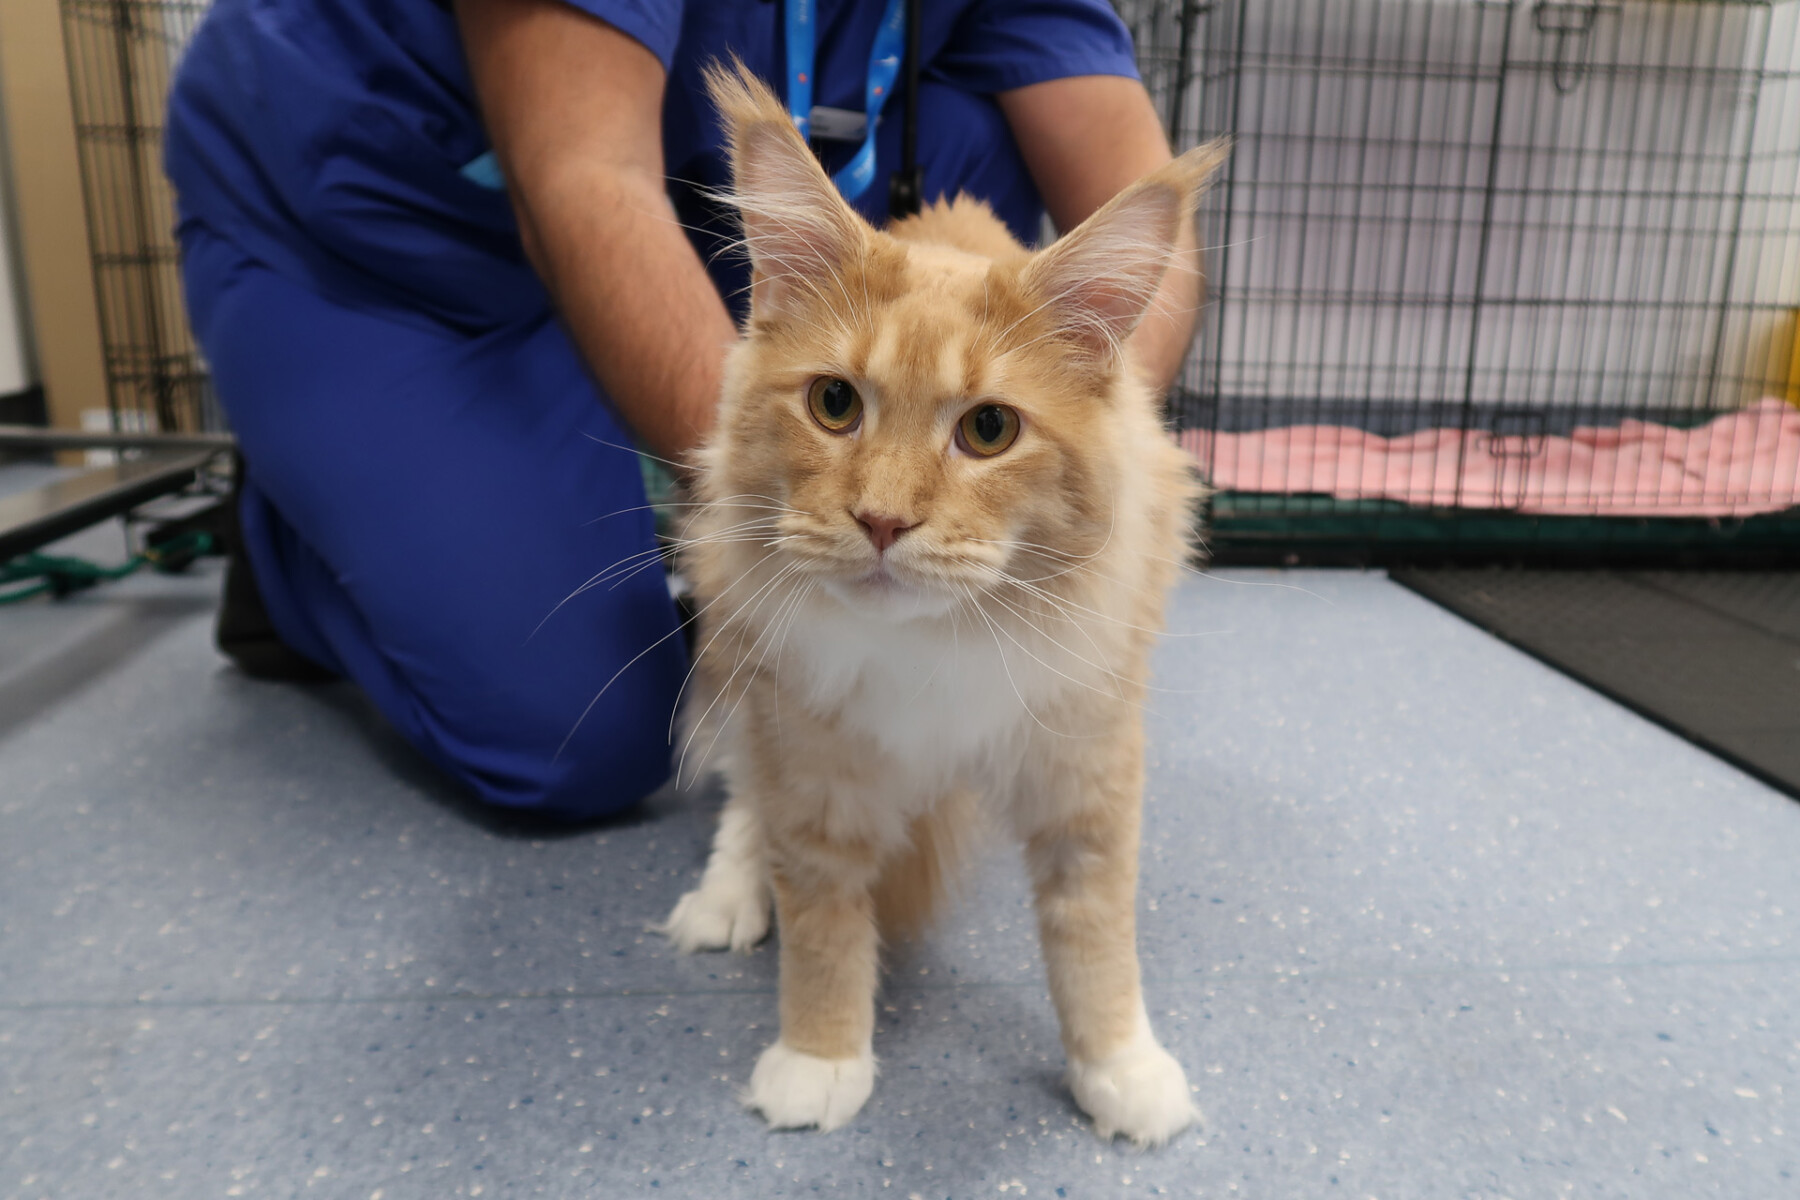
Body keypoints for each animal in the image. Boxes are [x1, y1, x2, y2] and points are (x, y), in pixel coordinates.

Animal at [662, 63, 1238, 1144]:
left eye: (989, 431)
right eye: (834, 405)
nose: (883, 520)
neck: (935, 645)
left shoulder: (1087, 768)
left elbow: (1096, 934)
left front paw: (1120, 1068)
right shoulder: (811, 758)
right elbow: (822, 922)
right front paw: (819, 1060)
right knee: (744, 795)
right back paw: (724, 898)